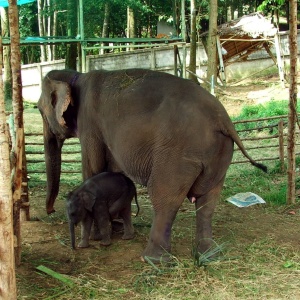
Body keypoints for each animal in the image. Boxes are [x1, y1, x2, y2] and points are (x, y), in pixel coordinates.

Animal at [38, 69, 268, 262]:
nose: (50, 210)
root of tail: (223, 120)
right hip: (219, 154)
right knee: (208, 201)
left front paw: (97, 236)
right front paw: (114, 228)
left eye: (39, 110)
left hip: (177, 154)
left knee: (164, 197)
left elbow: (93, 168)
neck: (77, 76)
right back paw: (208, 255)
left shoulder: (90, 125)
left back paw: (153, 259)